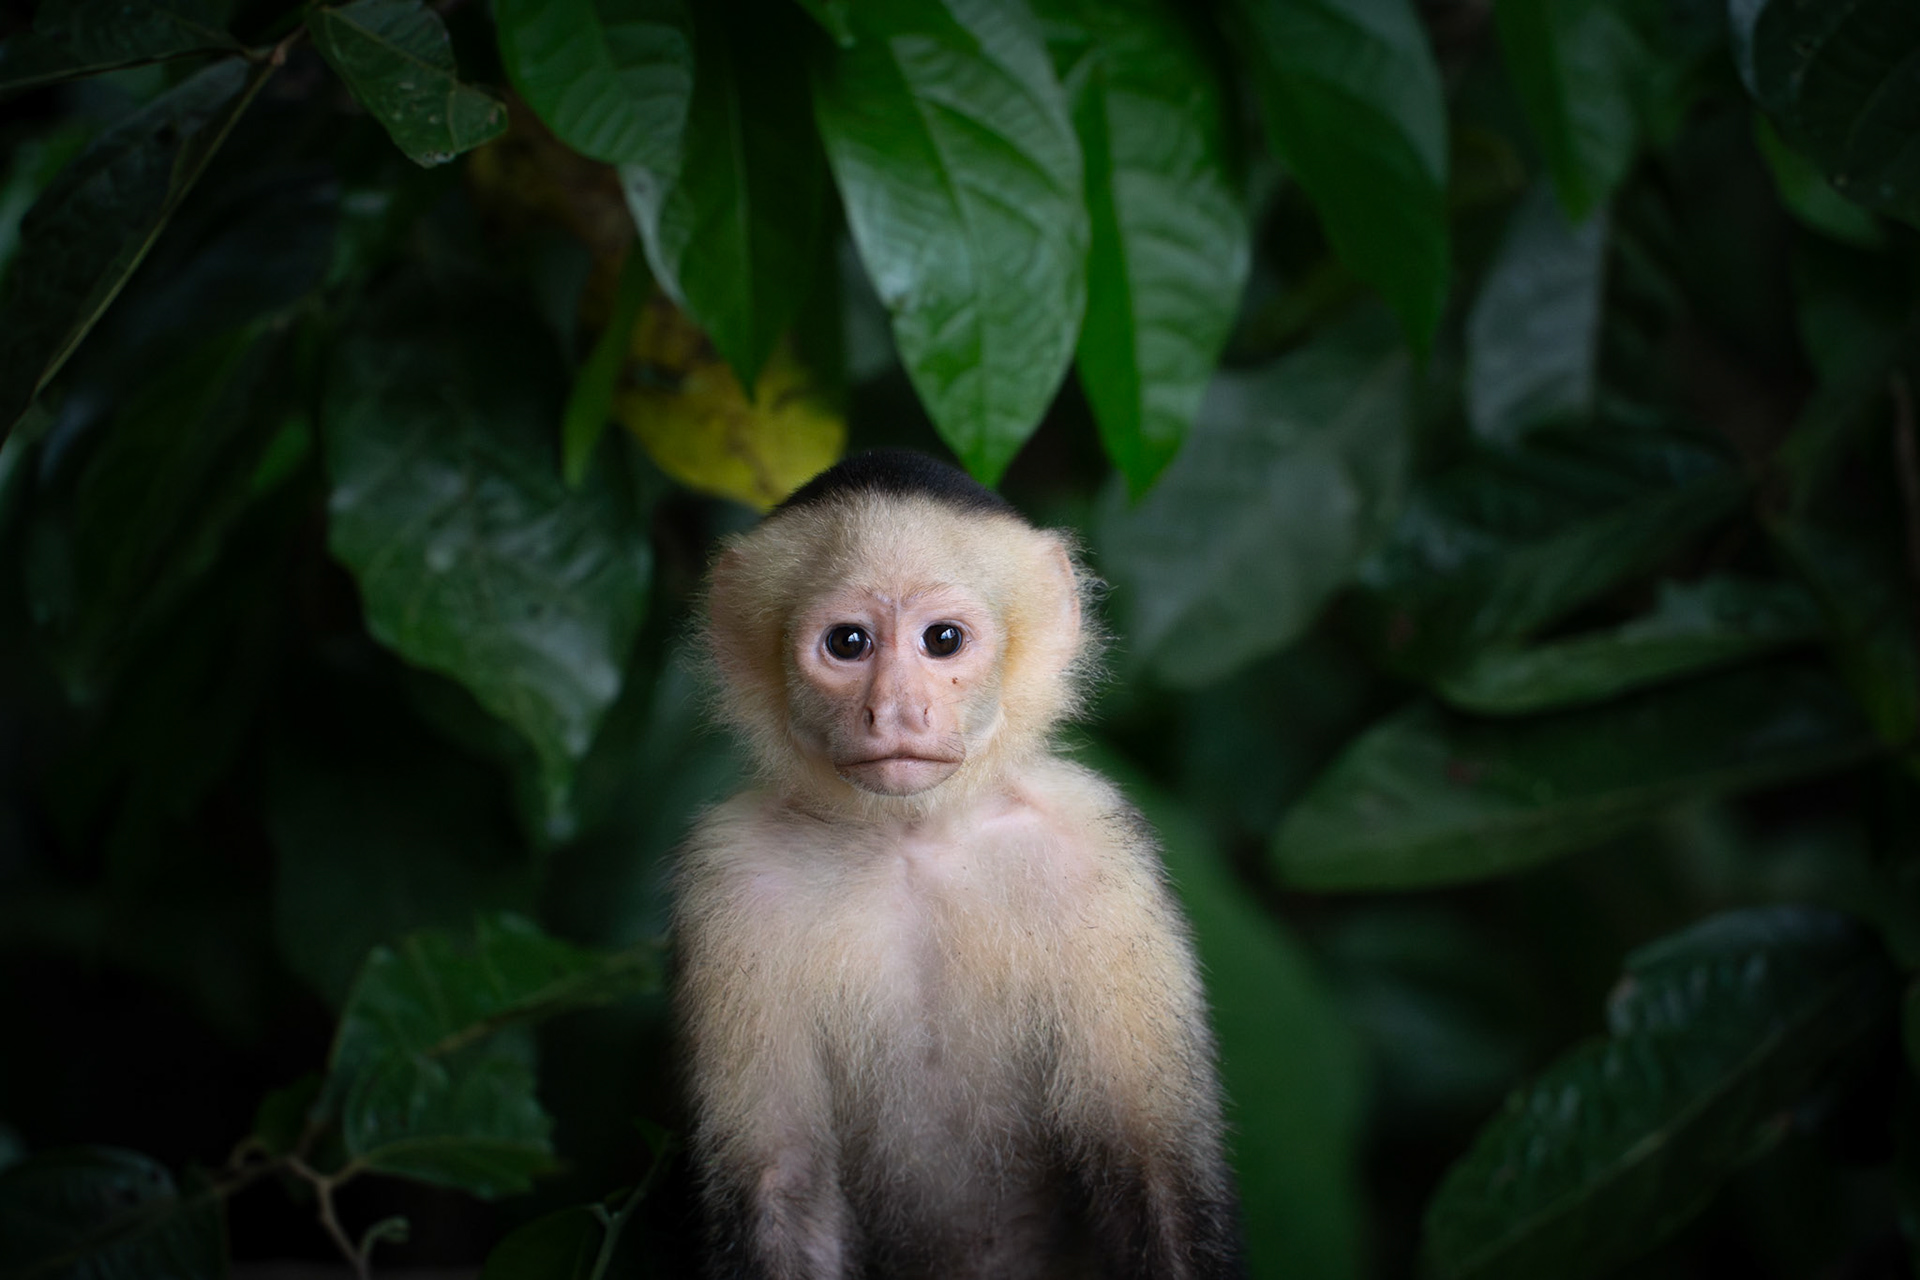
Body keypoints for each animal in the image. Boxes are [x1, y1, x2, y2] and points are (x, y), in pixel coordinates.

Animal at [674, 449, 1242, 1279]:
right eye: (848, 644)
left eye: (942, 640)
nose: (895, 710)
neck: (912, 840)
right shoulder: (728, 873)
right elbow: (781, 1186)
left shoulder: (1101, 847)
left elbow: (1155, 1173)